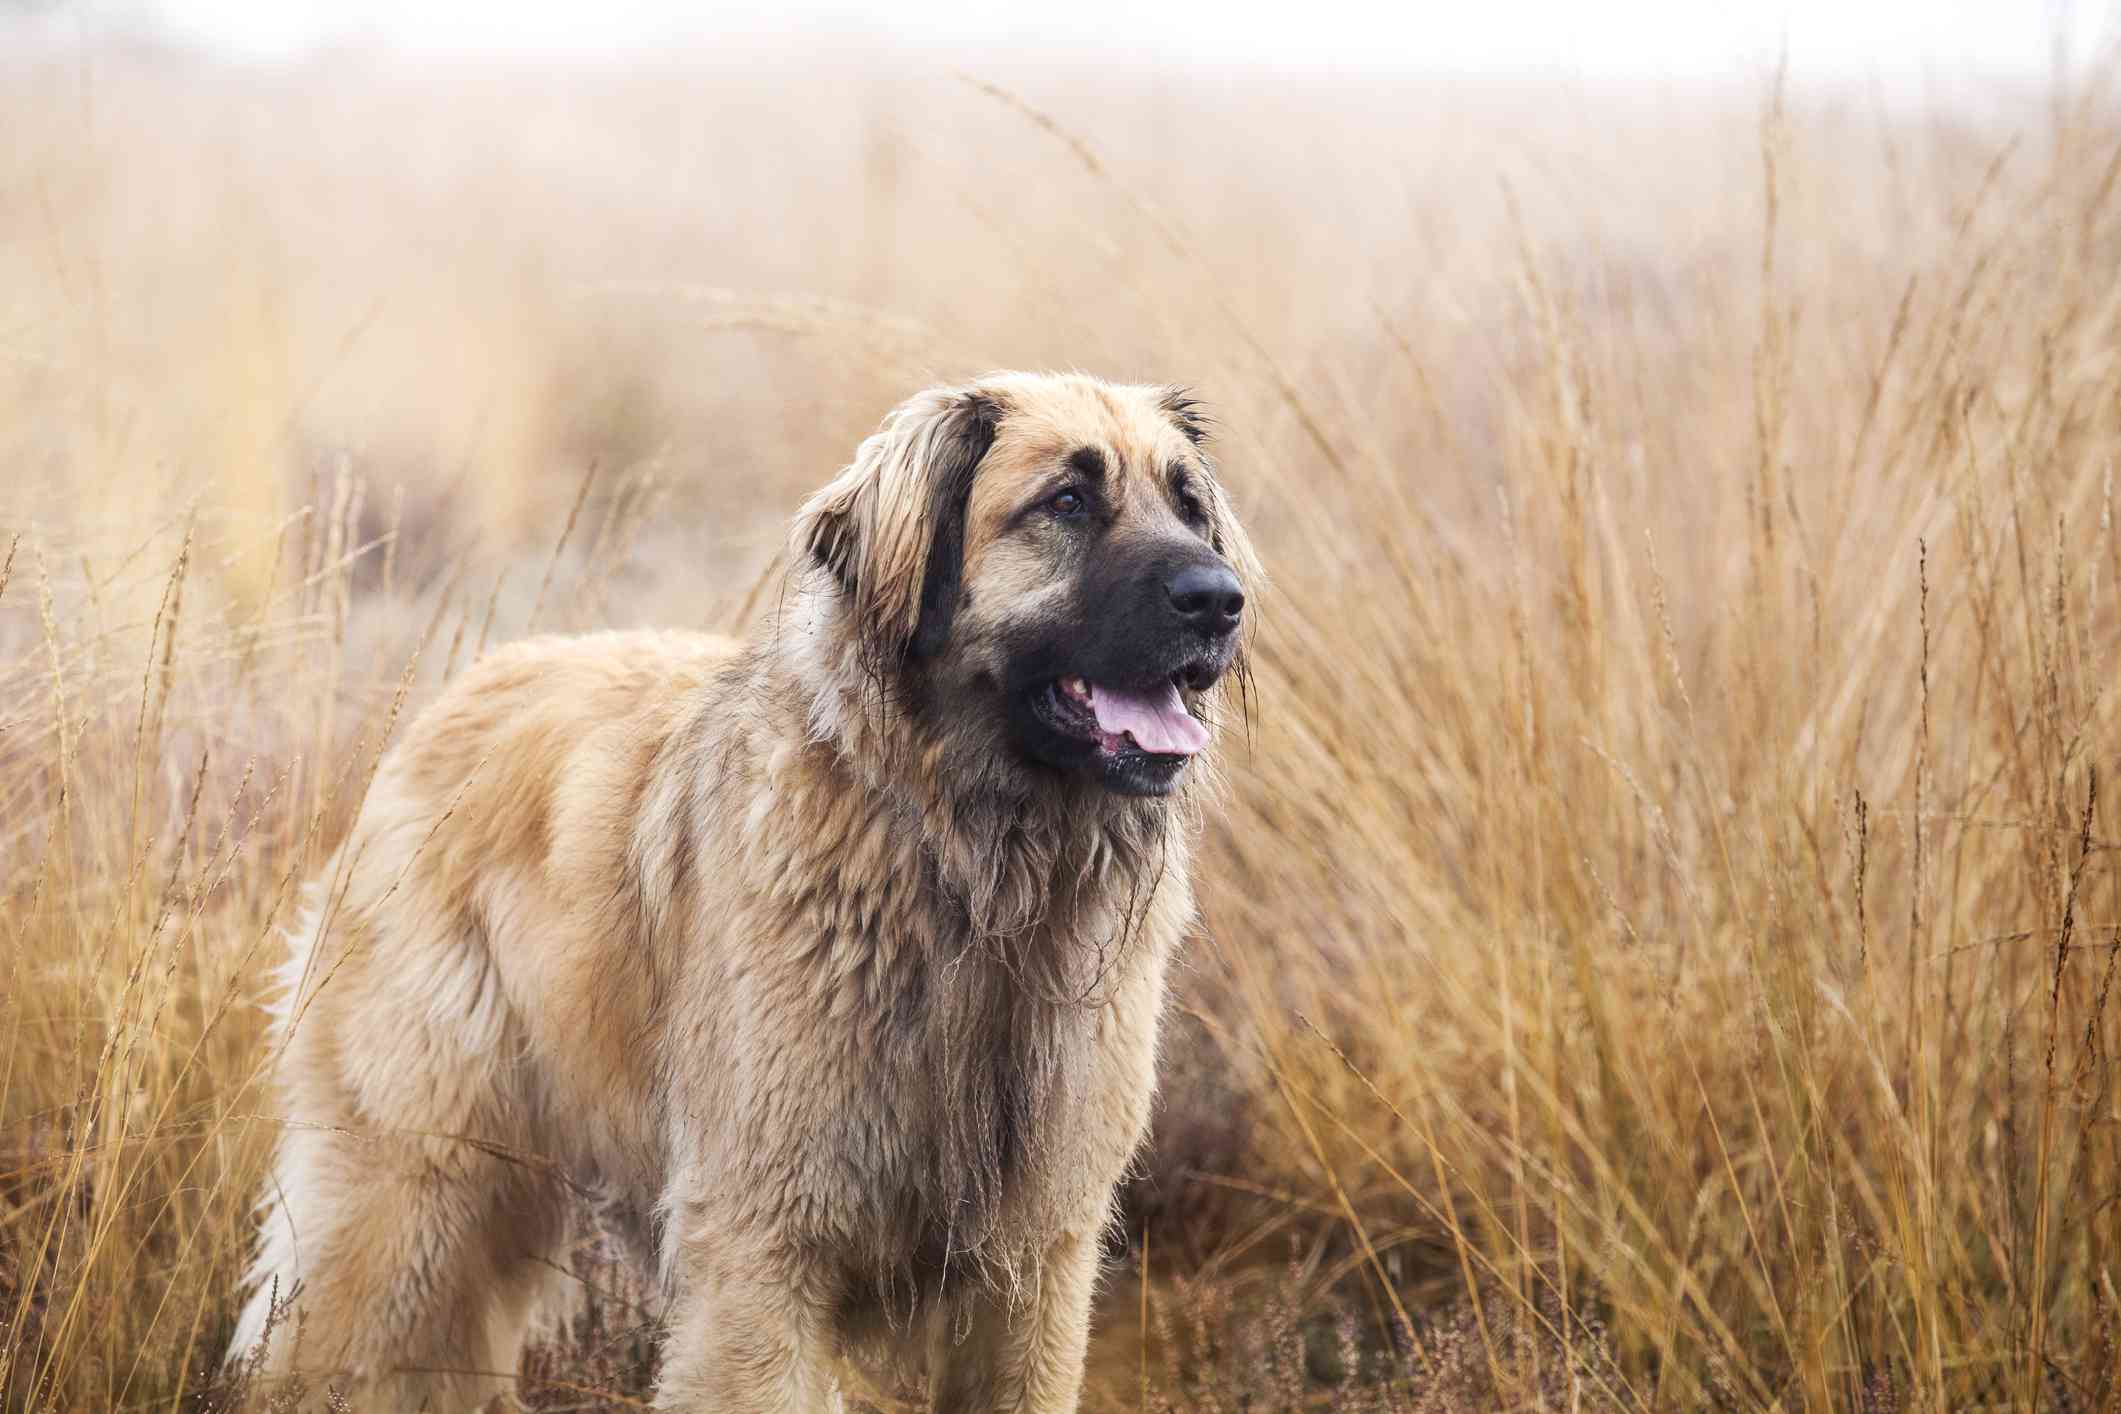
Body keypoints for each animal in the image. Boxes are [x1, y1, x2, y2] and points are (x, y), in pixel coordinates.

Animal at [228, 370, 1255, 1407]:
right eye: (1067, 501)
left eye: (1189, 507)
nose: (1221, 601)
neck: (971, 876)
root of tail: (462, 696)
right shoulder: (763, 1249)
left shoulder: (1035, 1264)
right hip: (408, 1195)